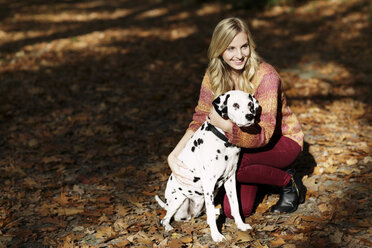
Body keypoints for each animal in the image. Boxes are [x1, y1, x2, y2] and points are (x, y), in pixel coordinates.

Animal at [154, 90, 258, 241]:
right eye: (235, 105)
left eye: (250, 104)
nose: (250, 116)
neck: (225, 142)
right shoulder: (209, 182)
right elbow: (212, 216)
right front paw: (216, 235)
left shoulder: (230, 179)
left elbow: (235, 205)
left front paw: (241, 225)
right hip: (179, 198)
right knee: (166, 219)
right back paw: (168, 227)